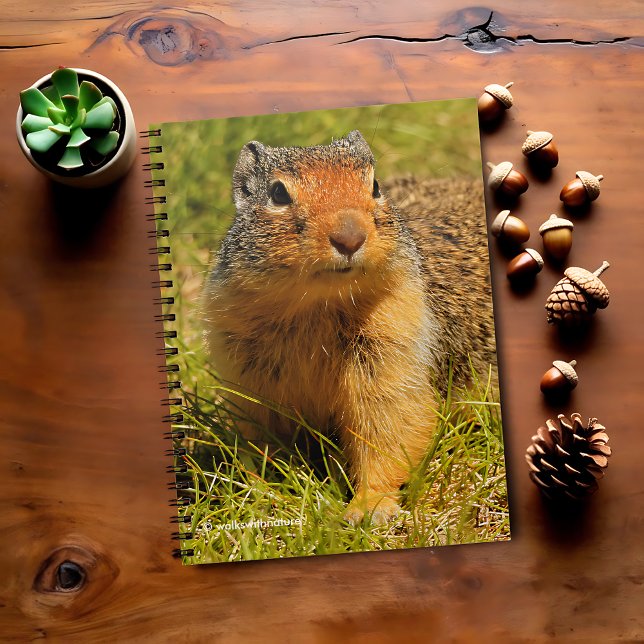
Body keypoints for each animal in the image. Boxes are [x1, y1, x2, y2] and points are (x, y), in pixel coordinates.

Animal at [202, 129, 498, 525]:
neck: (315, 305)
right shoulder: (247, 370)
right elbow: (260, 436)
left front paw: (369, 507)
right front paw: (259, 491)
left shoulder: (392, 349)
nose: (350, 237)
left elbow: (389, 429)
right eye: (278, 193)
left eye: (375, 186)